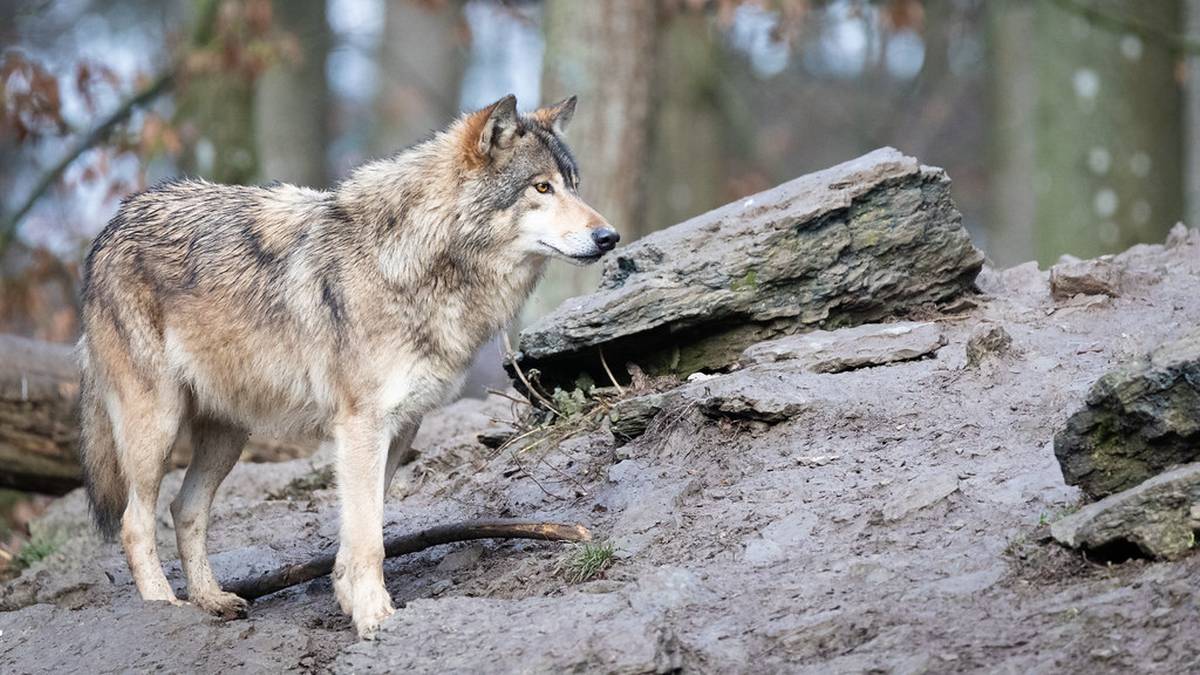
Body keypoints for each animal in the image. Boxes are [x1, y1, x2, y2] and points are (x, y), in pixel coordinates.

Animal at [77, 94, 619, 634]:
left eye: (573, 184)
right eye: (541, 187)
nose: (609, 236)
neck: (414, 262)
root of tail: (112, 225)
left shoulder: (402, 426)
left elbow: (365, 525)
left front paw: (348, 596)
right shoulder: (362, 425)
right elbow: (368, 538)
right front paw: (375, 616)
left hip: (228, 433)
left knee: (184, 508)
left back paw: (212, 600)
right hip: (158, 424)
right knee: (134, 523)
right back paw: (163, 609)